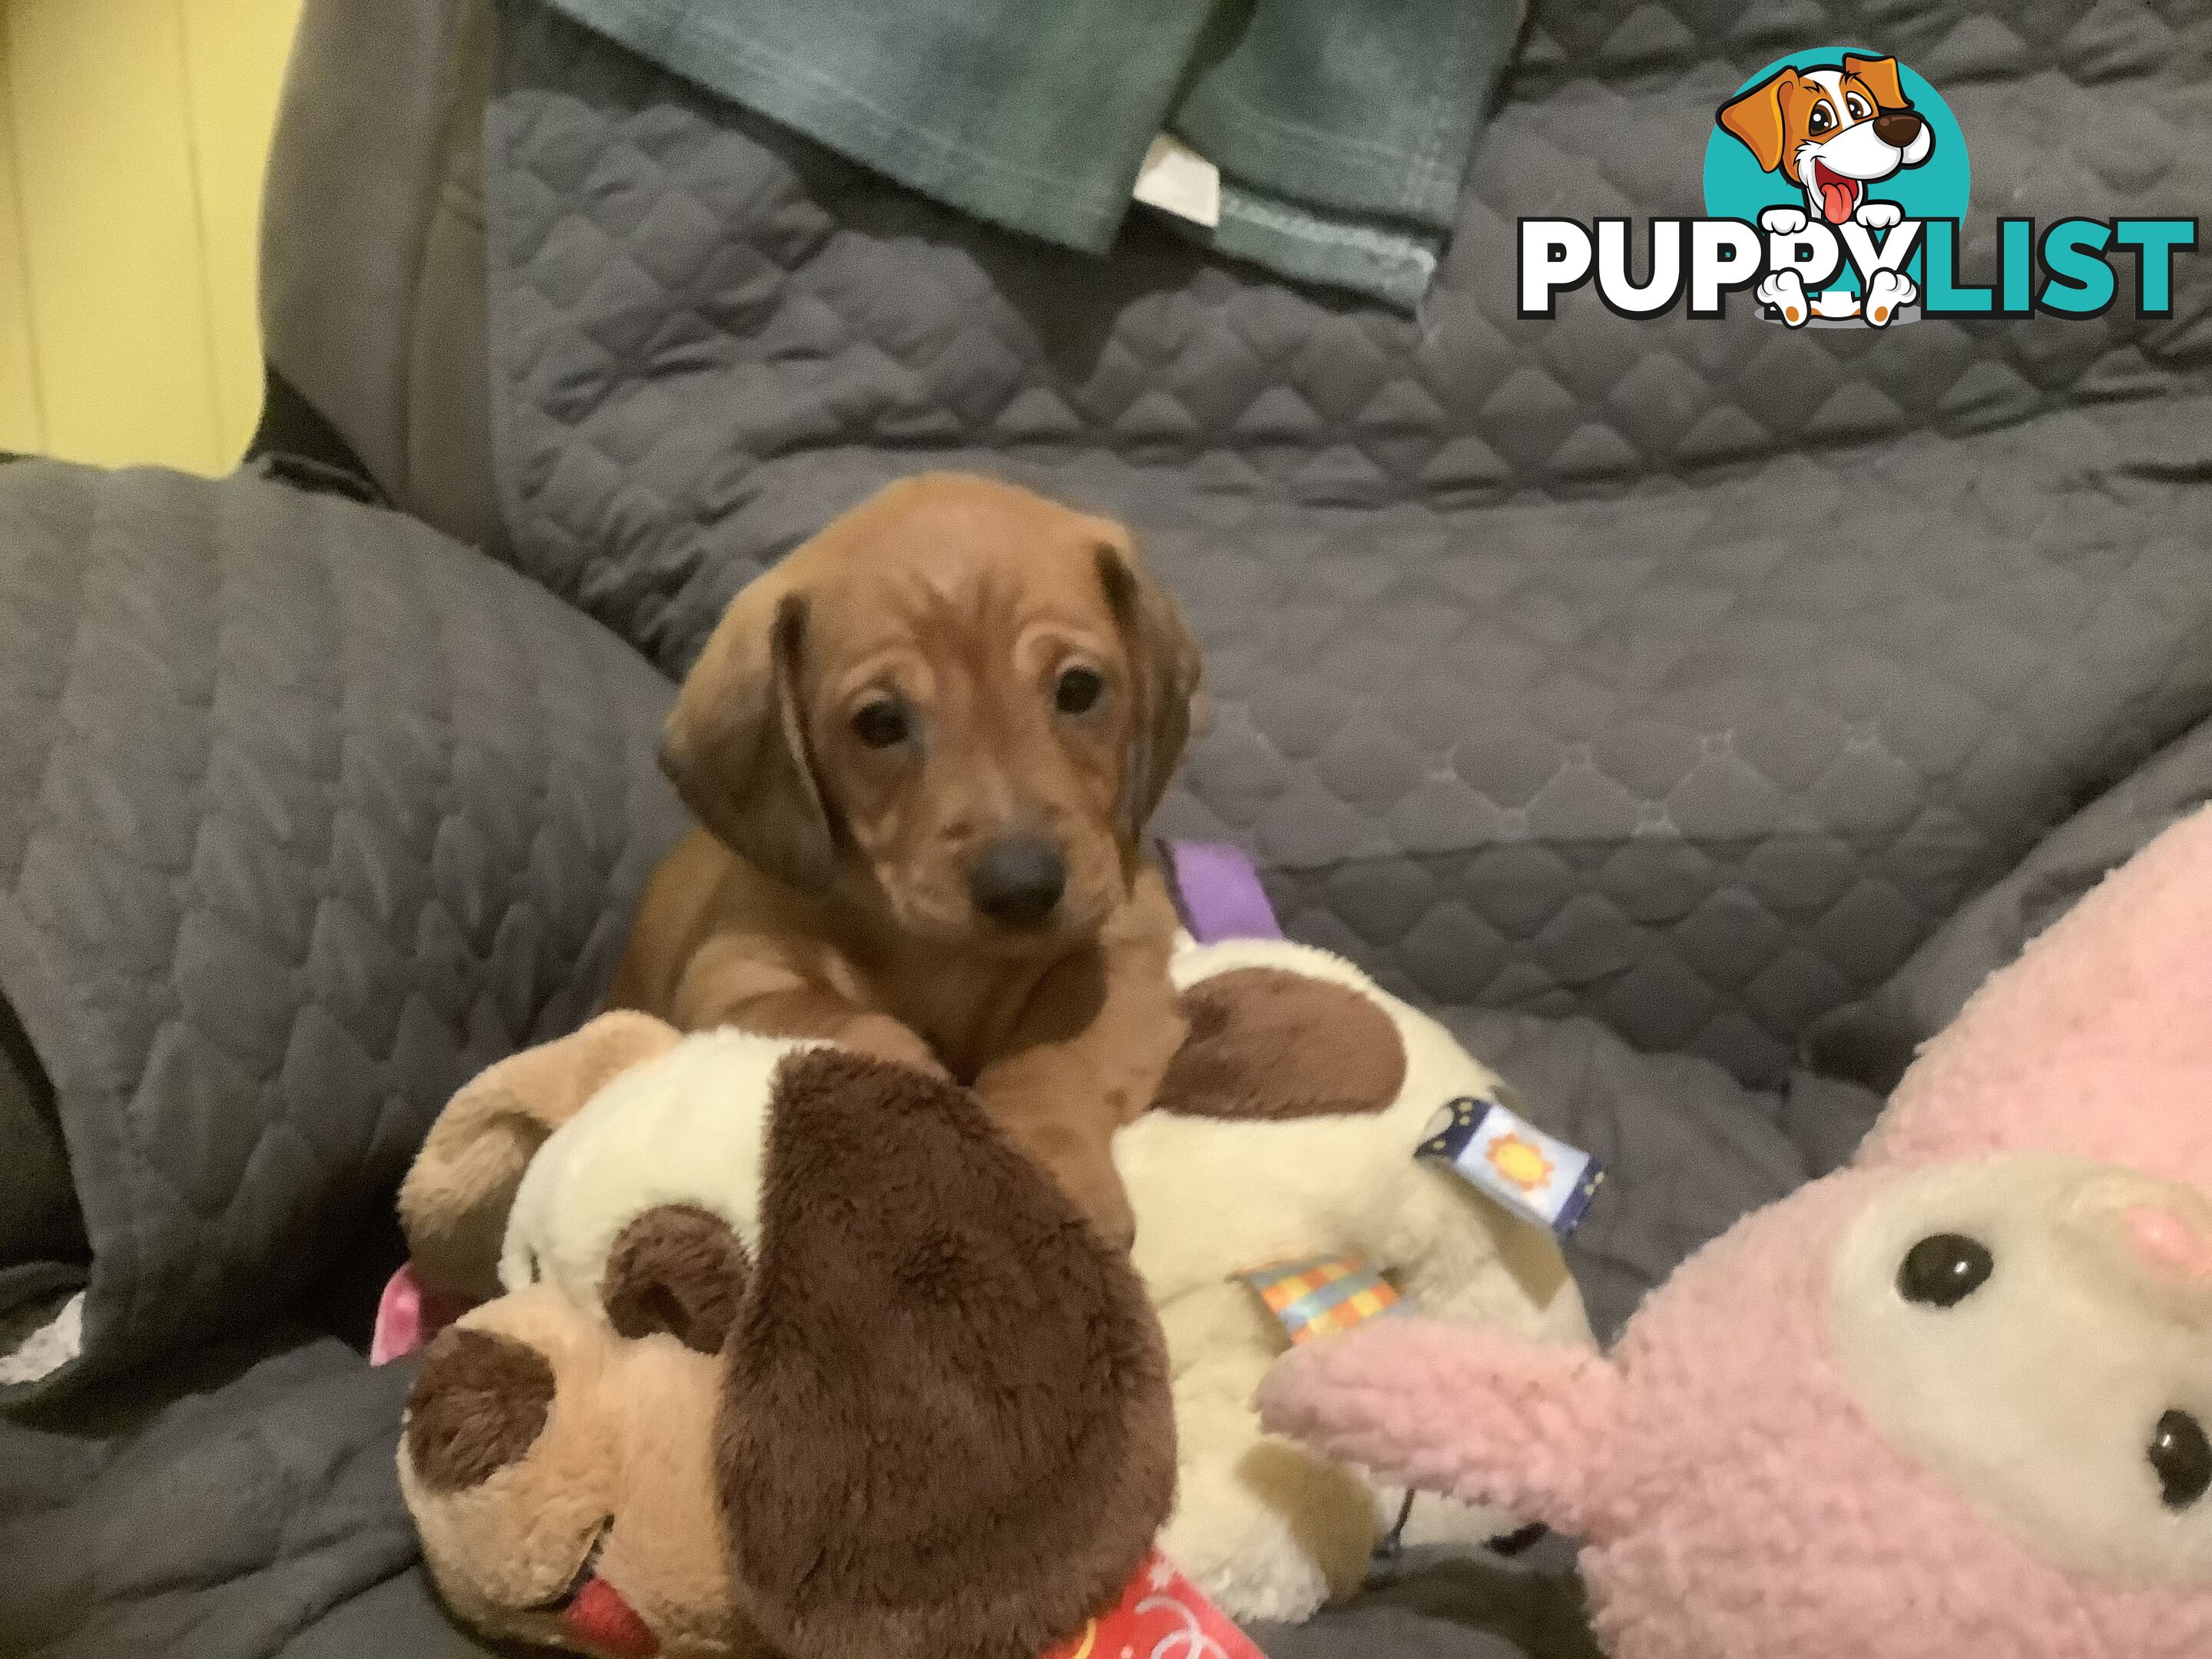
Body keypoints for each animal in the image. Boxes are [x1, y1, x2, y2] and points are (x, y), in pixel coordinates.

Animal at [606, 473, 1203, 1238]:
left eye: (1078, 689)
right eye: (881, 723)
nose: (1023, 888)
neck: (945, 957)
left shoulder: (1123, 955)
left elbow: (1050, 1060)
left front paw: (1043, 1167)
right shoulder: (735, 981)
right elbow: (861, 1028)